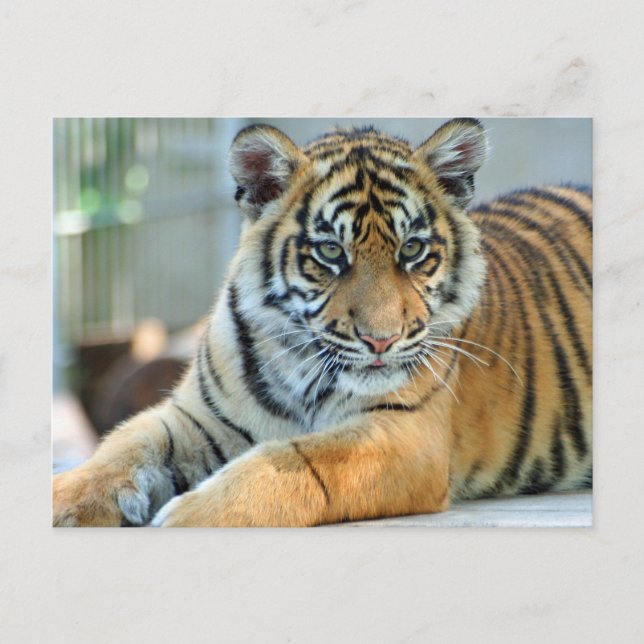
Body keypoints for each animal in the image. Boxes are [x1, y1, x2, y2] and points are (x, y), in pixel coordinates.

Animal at [52, 118, 592, 527]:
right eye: (331, 252)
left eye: (412, 250)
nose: (382, 340)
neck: (299, 364)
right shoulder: (198, 417)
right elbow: (122, 446)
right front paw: (62, 498)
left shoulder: (406, 434)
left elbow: (295, 461)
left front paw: (186, 517)